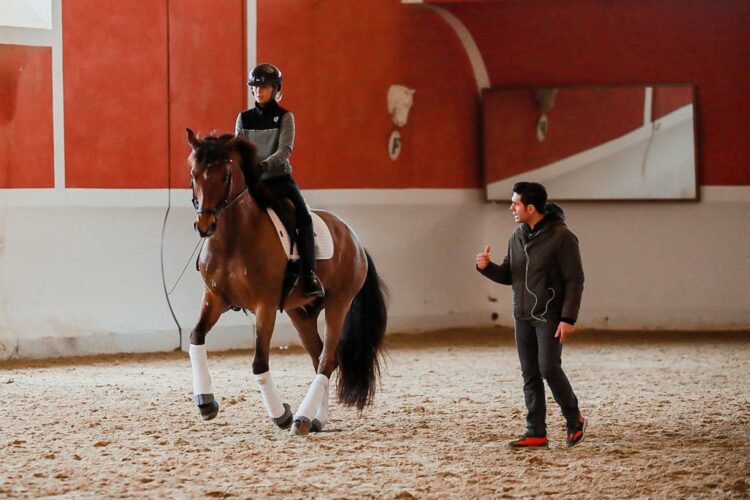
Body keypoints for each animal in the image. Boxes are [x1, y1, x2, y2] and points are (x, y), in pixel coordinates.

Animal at [186, 128, 390, 434]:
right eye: (194, 174)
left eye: (225, 175)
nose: (205, 226)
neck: (233, 238)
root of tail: (353, 239)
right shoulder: (215, 297)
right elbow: (196, 337)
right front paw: (206, 402)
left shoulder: (265, 306)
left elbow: (259, 363)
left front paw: (281, 414)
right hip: (300, 313)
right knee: (320, 357)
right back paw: (317, 419)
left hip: (338, 304)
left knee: (327, 359)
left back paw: (302, 419)